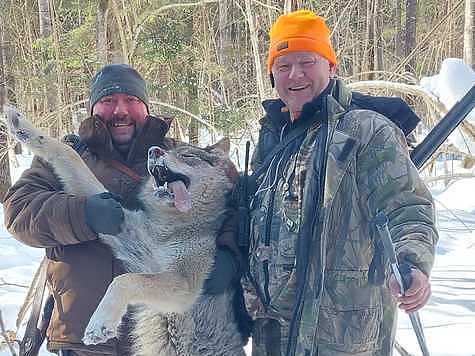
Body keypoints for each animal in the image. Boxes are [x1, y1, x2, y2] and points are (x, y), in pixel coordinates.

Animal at [3, 106, 247, 356]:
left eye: (188, 156)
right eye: (167, 150)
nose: (153, 150)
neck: (171, 226)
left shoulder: (183, 285)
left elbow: (124, 280)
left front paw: (100, 324)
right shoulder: (123, 231)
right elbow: (68, 154)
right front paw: (22, 127)